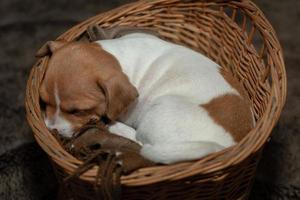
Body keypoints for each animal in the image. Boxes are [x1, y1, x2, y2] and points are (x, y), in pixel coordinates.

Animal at [38, 32, 254, 164]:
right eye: (44, 101)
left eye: (78, 111)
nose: (51, 130)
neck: (118, 58)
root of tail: (225, 147)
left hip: (161, 109)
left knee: (140, 141)